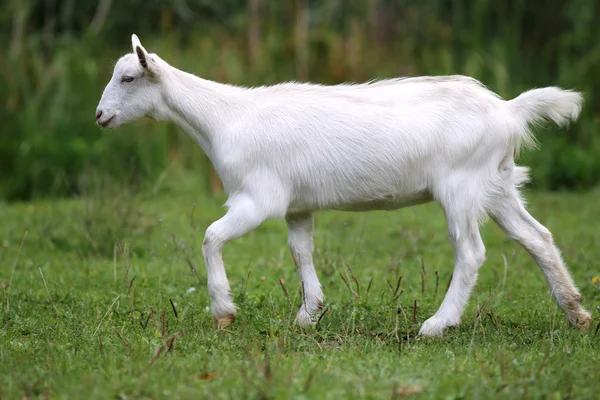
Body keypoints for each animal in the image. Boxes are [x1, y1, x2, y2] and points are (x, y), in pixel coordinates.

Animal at [96, 34, 592, 336]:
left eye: (128, 77)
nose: (101, 116)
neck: (224, 117)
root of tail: (508, 110)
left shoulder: (259, 198)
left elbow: (211, 237)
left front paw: (224, 312)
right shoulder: (297, 206)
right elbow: (301, 251)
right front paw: (308, 314)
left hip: (461, 186)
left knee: (470, 252)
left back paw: (437, 324)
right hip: (497, 184)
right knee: (537, 237)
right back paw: (578, 313)